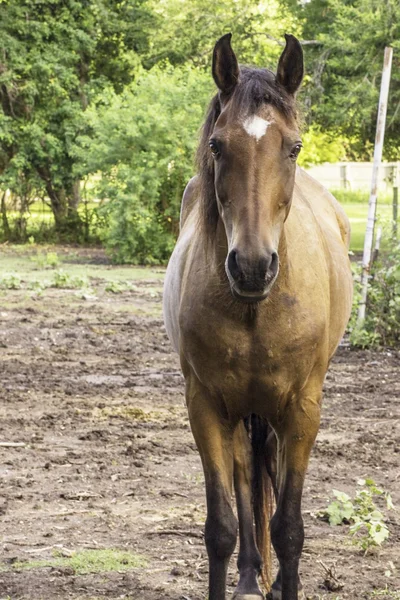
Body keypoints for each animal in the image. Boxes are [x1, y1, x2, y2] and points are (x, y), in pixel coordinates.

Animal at [162, 34, 354, 600]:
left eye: (293, 147)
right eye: (217, 146)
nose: (251, 266)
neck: (252, 308)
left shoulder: (303, 408)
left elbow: (288, 529)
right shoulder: (204, 406)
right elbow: (221, 527)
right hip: (239, 411)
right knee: (247, 474)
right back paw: (250, 575)